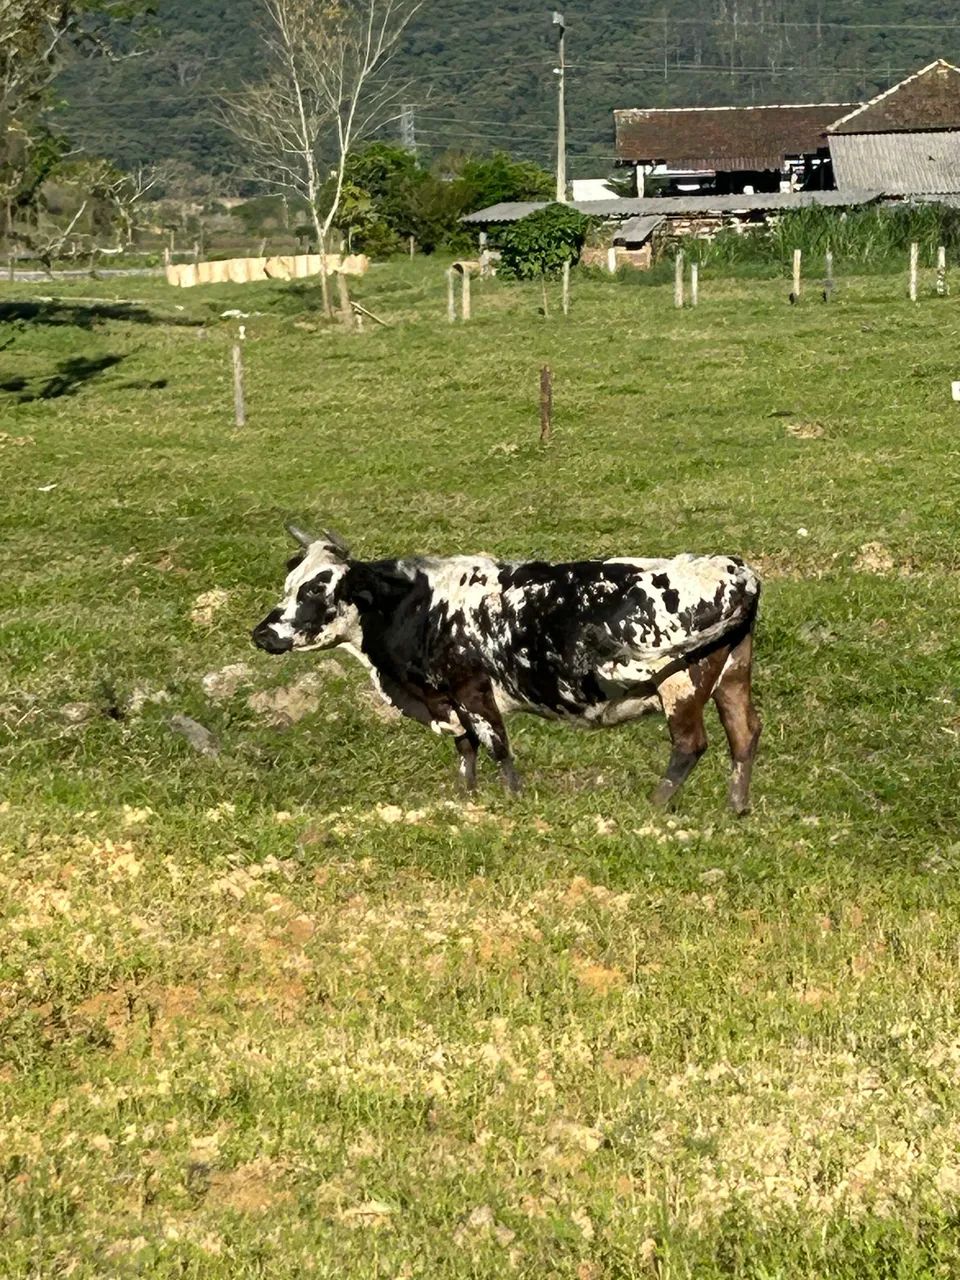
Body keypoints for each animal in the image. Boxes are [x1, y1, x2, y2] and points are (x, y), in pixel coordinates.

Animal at [252, 525, 762, 813]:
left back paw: (653, 807)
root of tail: (734, 569)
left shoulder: (471, 690)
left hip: (682, 685)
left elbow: (496, 746)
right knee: (744, 734)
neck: (421, 606)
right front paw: (466, 798)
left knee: (690, 745)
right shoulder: (447, 699)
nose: (262, 633)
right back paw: (734, 809)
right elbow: (466, 748)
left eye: (315, 590)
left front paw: (512, 801)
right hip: (732, 677)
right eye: (289, 584)